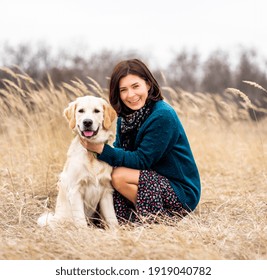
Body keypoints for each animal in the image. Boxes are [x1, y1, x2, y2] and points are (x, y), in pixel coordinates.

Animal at [37, 95, 118, 229]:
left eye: (96, 111)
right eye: (81, 111)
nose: (87, 122)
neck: (92, 153)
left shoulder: (106, 191)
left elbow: (112, 218)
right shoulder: (75, 190)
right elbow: (80, 219)